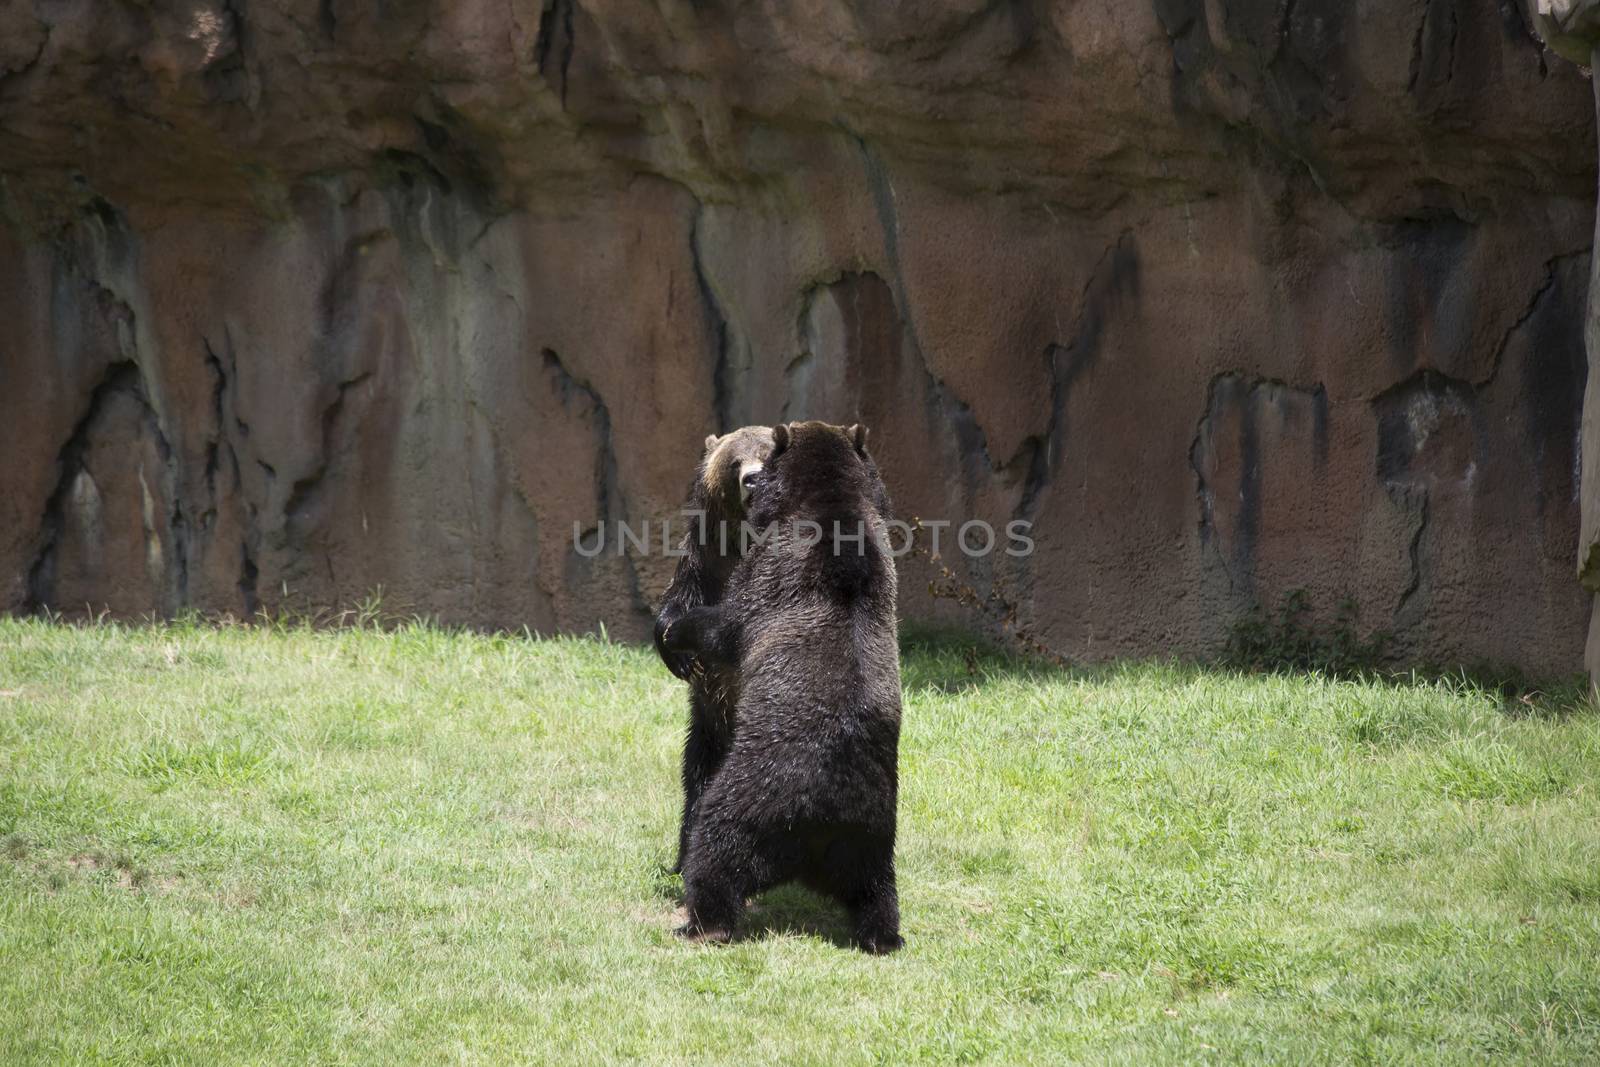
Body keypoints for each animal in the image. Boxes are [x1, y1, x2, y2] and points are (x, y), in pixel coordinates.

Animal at [649, 425, 774, 876]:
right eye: (735, 461)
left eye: (767, 453)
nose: (752, 480)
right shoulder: (704, 562)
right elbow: (678, 599)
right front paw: (676, 650)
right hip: (709, 727)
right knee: (698, 778)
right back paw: (686, 856)